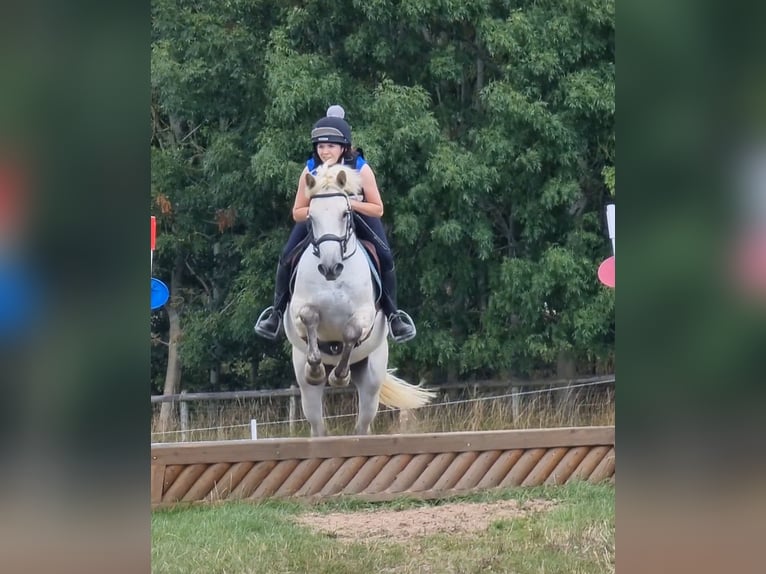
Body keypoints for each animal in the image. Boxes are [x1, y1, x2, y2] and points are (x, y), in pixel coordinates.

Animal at [284, 164, 436, 438]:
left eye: (345, 213)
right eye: (311, 217)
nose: (330, 267)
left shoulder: (365, 315)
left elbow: (351, 332)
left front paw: (339, 377)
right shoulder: (298, 311)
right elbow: (310, 318)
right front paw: (317, 368)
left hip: (371, 377)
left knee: (362, 425)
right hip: (305, 385)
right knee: (317, 424)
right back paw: (318, 373)